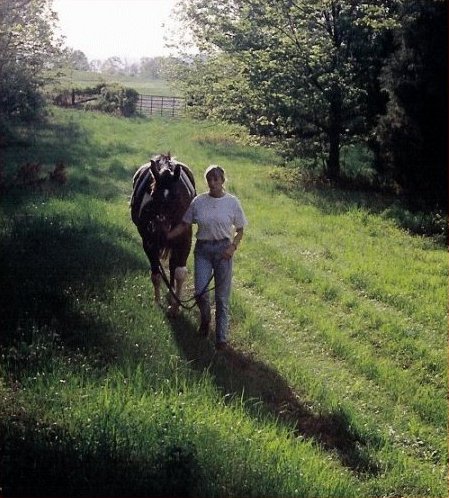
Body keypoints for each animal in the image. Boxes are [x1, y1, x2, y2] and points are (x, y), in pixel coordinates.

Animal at [132, 154, 197, 314]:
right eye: (153, 194)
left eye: (176, 196)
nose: (160, 231)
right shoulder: (148, 242)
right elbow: (155, 274)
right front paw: (157, 302)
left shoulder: (185, 239)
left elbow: (179, 272)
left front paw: (175, 306)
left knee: (173, 265)